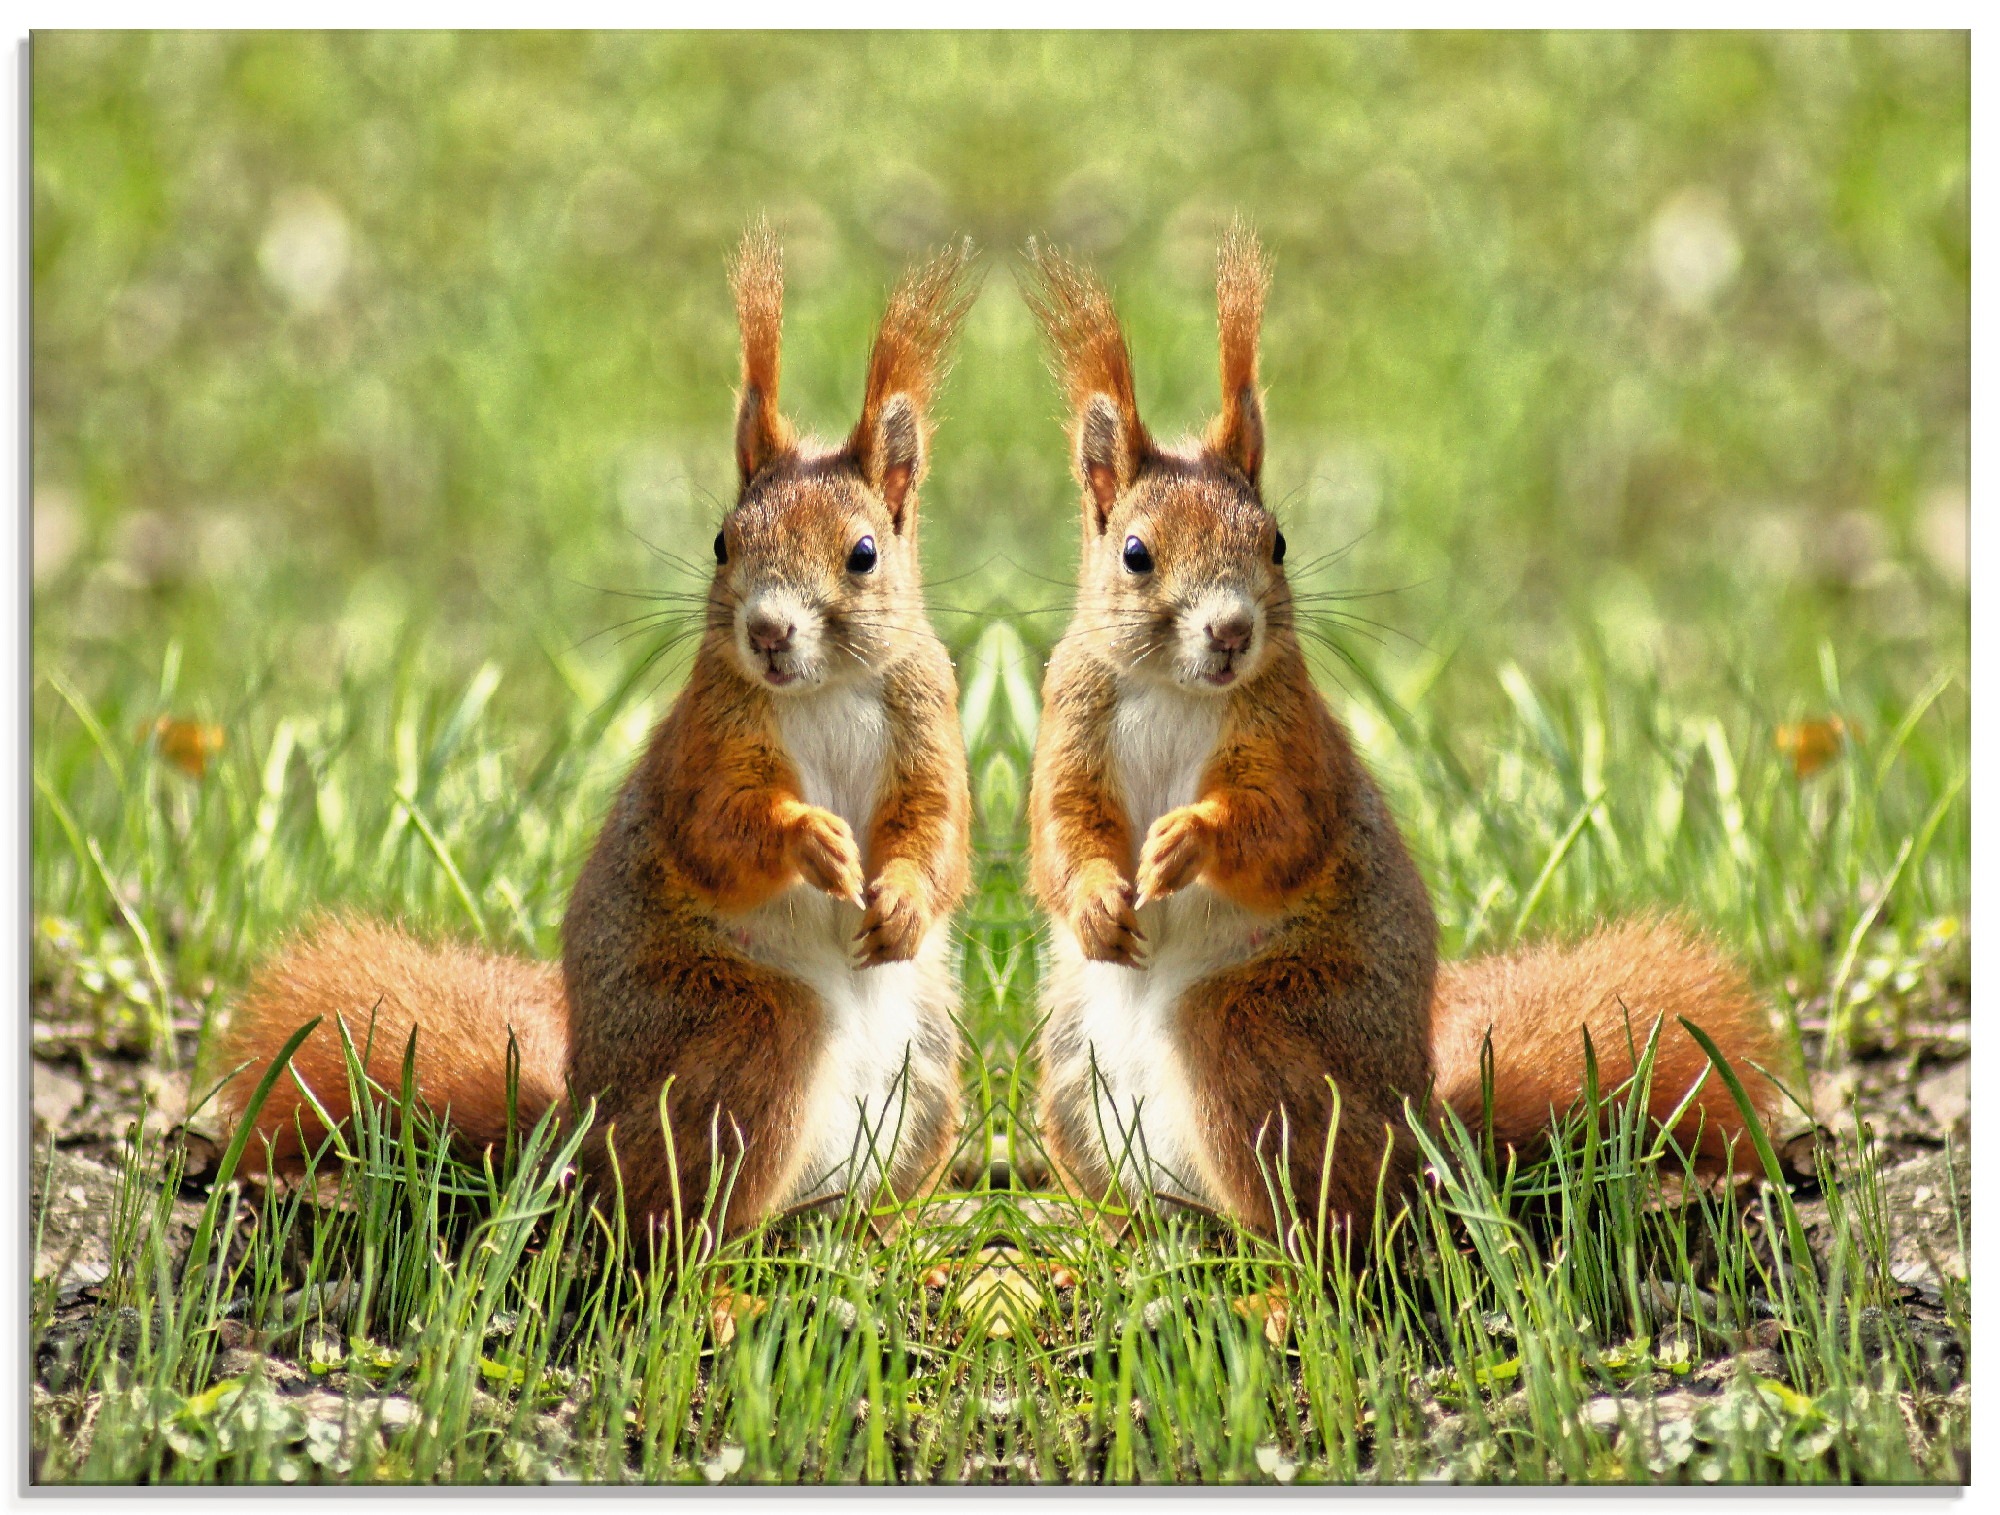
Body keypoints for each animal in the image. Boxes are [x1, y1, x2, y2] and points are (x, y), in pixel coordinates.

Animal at [217, 224, 979, 1246]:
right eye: (722, 542)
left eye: (863, 554)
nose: (768, 631)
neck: (830, 690)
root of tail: (575, 1141)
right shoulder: (707, 740)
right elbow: (714, 828)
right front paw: (809, 840)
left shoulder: (929, 721)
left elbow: (939, 835)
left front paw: (897, 900)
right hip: (746, 1037)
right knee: (674, 1222)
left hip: (927, 1070)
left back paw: (880, 1239)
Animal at [1019, 225, 1786, 1244]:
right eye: (1136, 554)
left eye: (1277, 542)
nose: (1231, 631)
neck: (1169, 690)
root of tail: (1425, 1141)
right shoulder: (1070, 722)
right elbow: (1060, 835)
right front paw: (1101, 900)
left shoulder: (1292, 739)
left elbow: (1286, 828)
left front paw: (1191, 840)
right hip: (1072, 1069)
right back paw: (1118, 1237)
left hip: (1254, 1036)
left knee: (1325, 1221)